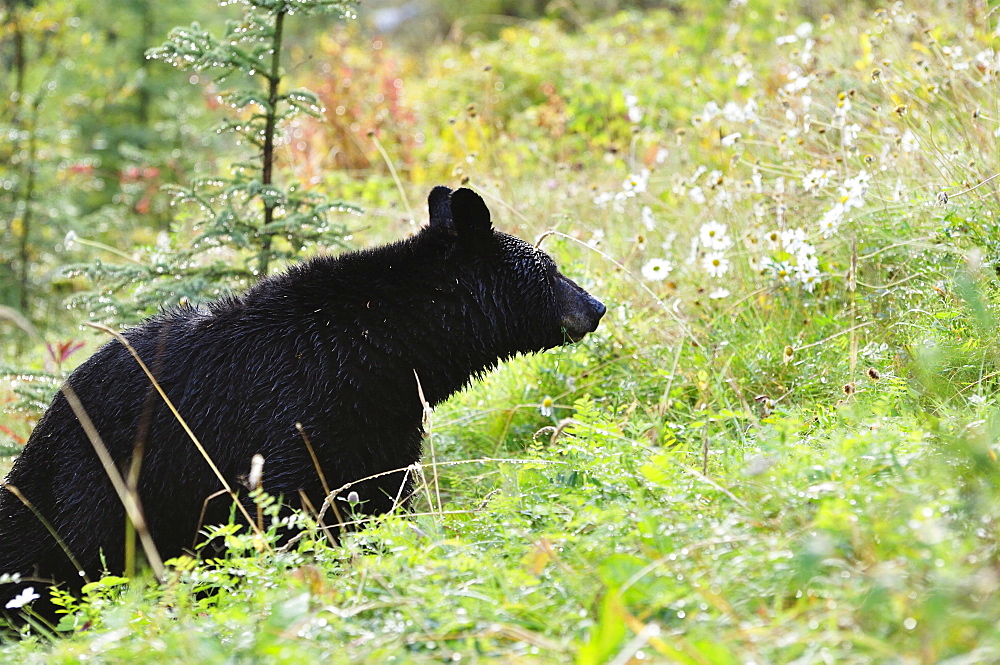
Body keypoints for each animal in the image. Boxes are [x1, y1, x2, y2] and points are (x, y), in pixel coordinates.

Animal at [0, 185, 604, 624]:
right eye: (552, 269)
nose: (597, 305)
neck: (384, 351)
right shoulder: (291, 417)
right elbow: (290, 513)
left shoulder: (378, 428)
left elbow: (375, 501)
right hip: (96, 484)